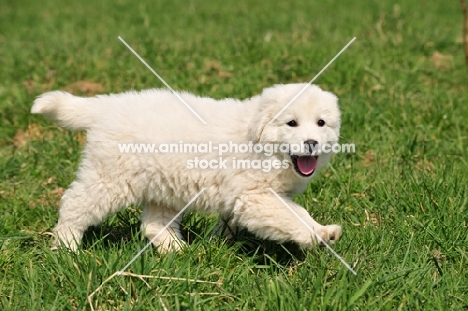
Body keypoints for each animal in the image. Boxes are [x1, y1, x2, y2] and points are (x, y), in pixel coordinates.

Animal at [31, 84, 342, 252]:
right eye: (291, 123)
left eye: (321, 123)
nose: (312, 143)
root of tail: (107, 107)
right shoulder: (256, 196)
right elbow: (291, 216)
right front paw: (314, 235)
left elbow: (294, 212)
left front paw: (324, 230)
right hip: (110, 180)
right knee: (75, 205)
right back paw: (67, 247)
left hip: (163, 186)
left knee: (153, 224)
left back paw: (179, 251)